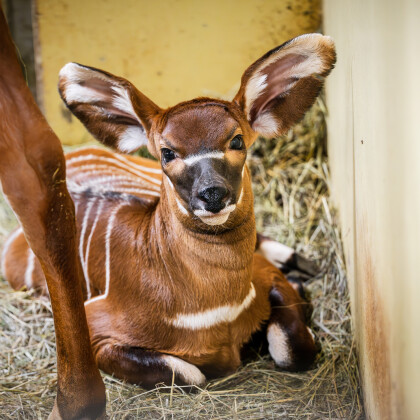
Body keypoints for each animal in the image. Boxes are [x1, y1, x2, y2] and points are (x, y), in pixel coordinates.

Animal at [0, 17, 334, 416]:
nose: (213, 194)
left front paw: (301, 293)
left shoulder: (267, 276)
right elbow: (192, 374)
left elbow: (294, 349)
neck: (214, 308)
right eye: (167, 152)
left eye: (237, 140)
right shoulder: (99, 334)